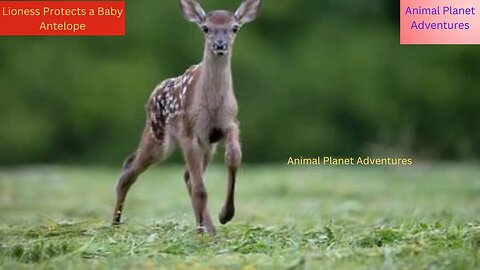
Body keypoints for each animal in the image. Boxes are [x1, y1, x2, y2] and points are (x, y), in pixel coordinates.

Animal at [111, 0, 262, 234]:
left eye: (234, 27)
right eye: (205, 28)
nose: (220, 45)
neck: (212, 106)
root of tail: (151, 96)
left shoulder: (228, 125)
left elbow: (233, 157)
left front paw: (225, 214)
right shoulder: (190, 132)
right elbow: (201, 189)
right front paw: (203, 230)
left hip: (206, 146)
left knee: (187, 177)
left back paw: (211, 229)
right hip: (157, 135)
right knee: (130, 169)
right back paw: (114, 224)